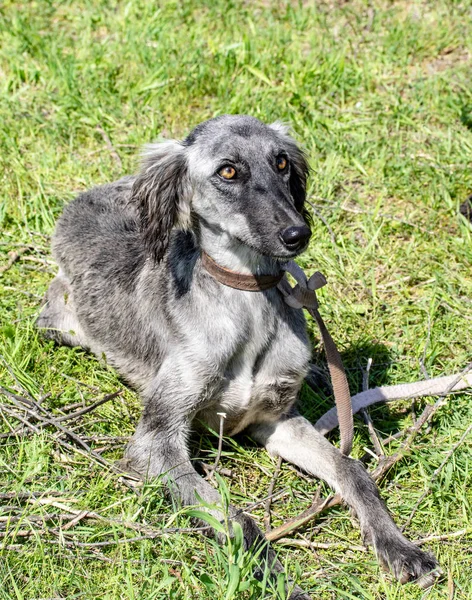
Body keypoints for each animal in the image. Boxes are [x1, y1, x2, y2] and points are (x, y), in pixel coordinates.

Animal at [38, 115, 440, 596]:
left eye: (281, 162)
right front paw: (279, 580)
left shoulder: (273, 420)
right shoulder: (155, 443)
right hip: (60, 321)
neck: (247, 304)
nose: (297, 233)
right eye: (228, 171)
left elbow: (352, 470)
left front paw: (398, 546)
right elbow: (236, 520)